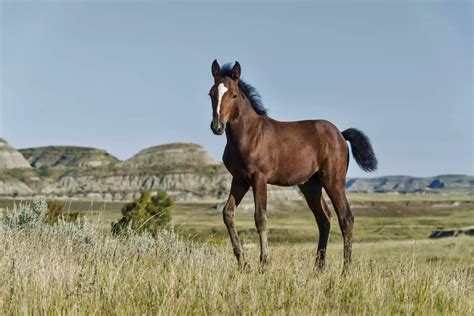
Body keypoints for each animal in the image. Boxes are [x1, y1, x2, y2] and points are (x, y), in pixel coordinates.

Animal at [208, 59, 378, 272]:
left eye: (233, 94)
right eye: (211, 93)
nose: (217, 127)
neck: (248, 135)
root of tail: (340, 134)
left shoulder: (259, 178)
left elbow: (260, 217)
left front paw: (264, 263)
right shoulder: (240, 179)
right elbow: (228, 213)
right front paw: (243, 263)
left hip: (333, 180)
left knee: (346, 218)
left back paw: (345, 270)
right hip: (311, 185)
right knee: (324, 219)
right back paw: (318, 268)